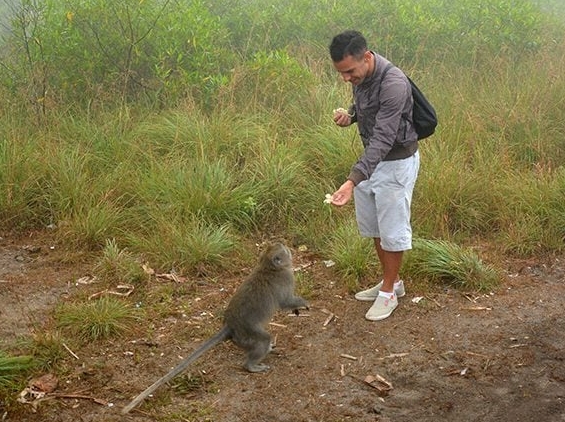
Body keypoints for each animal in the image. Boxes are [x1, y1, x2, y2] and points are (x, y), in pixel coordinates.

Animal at [122, 242, 308, 414]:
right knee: (262, 340)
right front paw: (303, 304)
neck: (268, 266)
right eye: (284, 251)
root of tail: (230, 326)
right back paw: (252, 365)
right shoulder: (286, 278)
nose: (285, 244)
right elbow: (285, 302)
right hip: (247, 334)